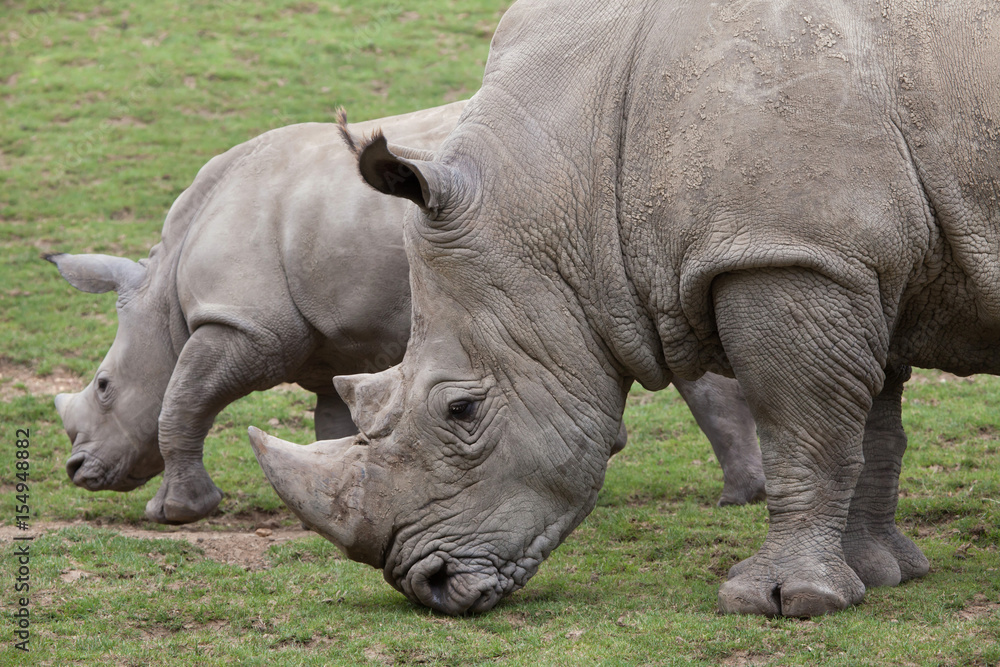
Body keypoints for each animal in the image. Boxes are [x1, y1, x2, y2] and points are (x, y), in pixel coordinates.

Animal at [49, 101, 763, 525]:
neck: (164, 293)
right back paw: (740, 497)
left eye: (105, 387)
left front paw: (176, 514)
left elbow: (182, 401)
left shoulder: (243, 324)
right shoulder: (329, 346)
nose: (77, 472)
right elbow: (333, 424)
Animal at [249, 0, 1000, 617]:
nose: (427, 585)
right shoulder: (856, 261)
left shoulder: (790, 252)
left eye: (461, 410)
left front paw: (786, 600)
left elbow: (804, 430)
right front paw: (881, 572)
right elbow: (872, 429)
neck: (570, 174)